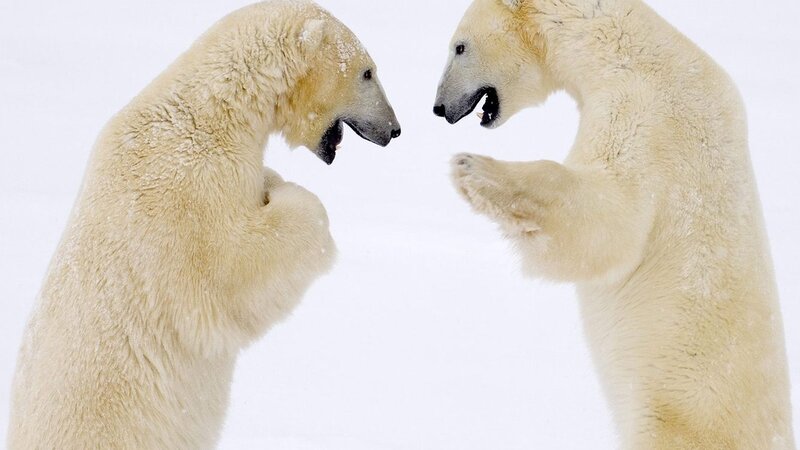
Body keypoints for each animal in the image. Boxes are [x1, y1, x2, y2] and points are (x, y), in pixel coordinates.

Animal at [8, 1, 400, 448]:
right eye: (368, 72)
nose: (394, 129)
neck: (212, 111)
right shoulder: (187, 190)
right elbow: (231, 273)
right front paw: (291, 198)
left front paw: (270, 181)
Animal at [433, 0, 795, 448]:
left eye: (459, 47)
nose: (439, 107)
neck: (630, 52)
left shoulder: (647, 114)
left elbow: (611, 221)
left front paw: (473, 169)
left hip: (674, 418)